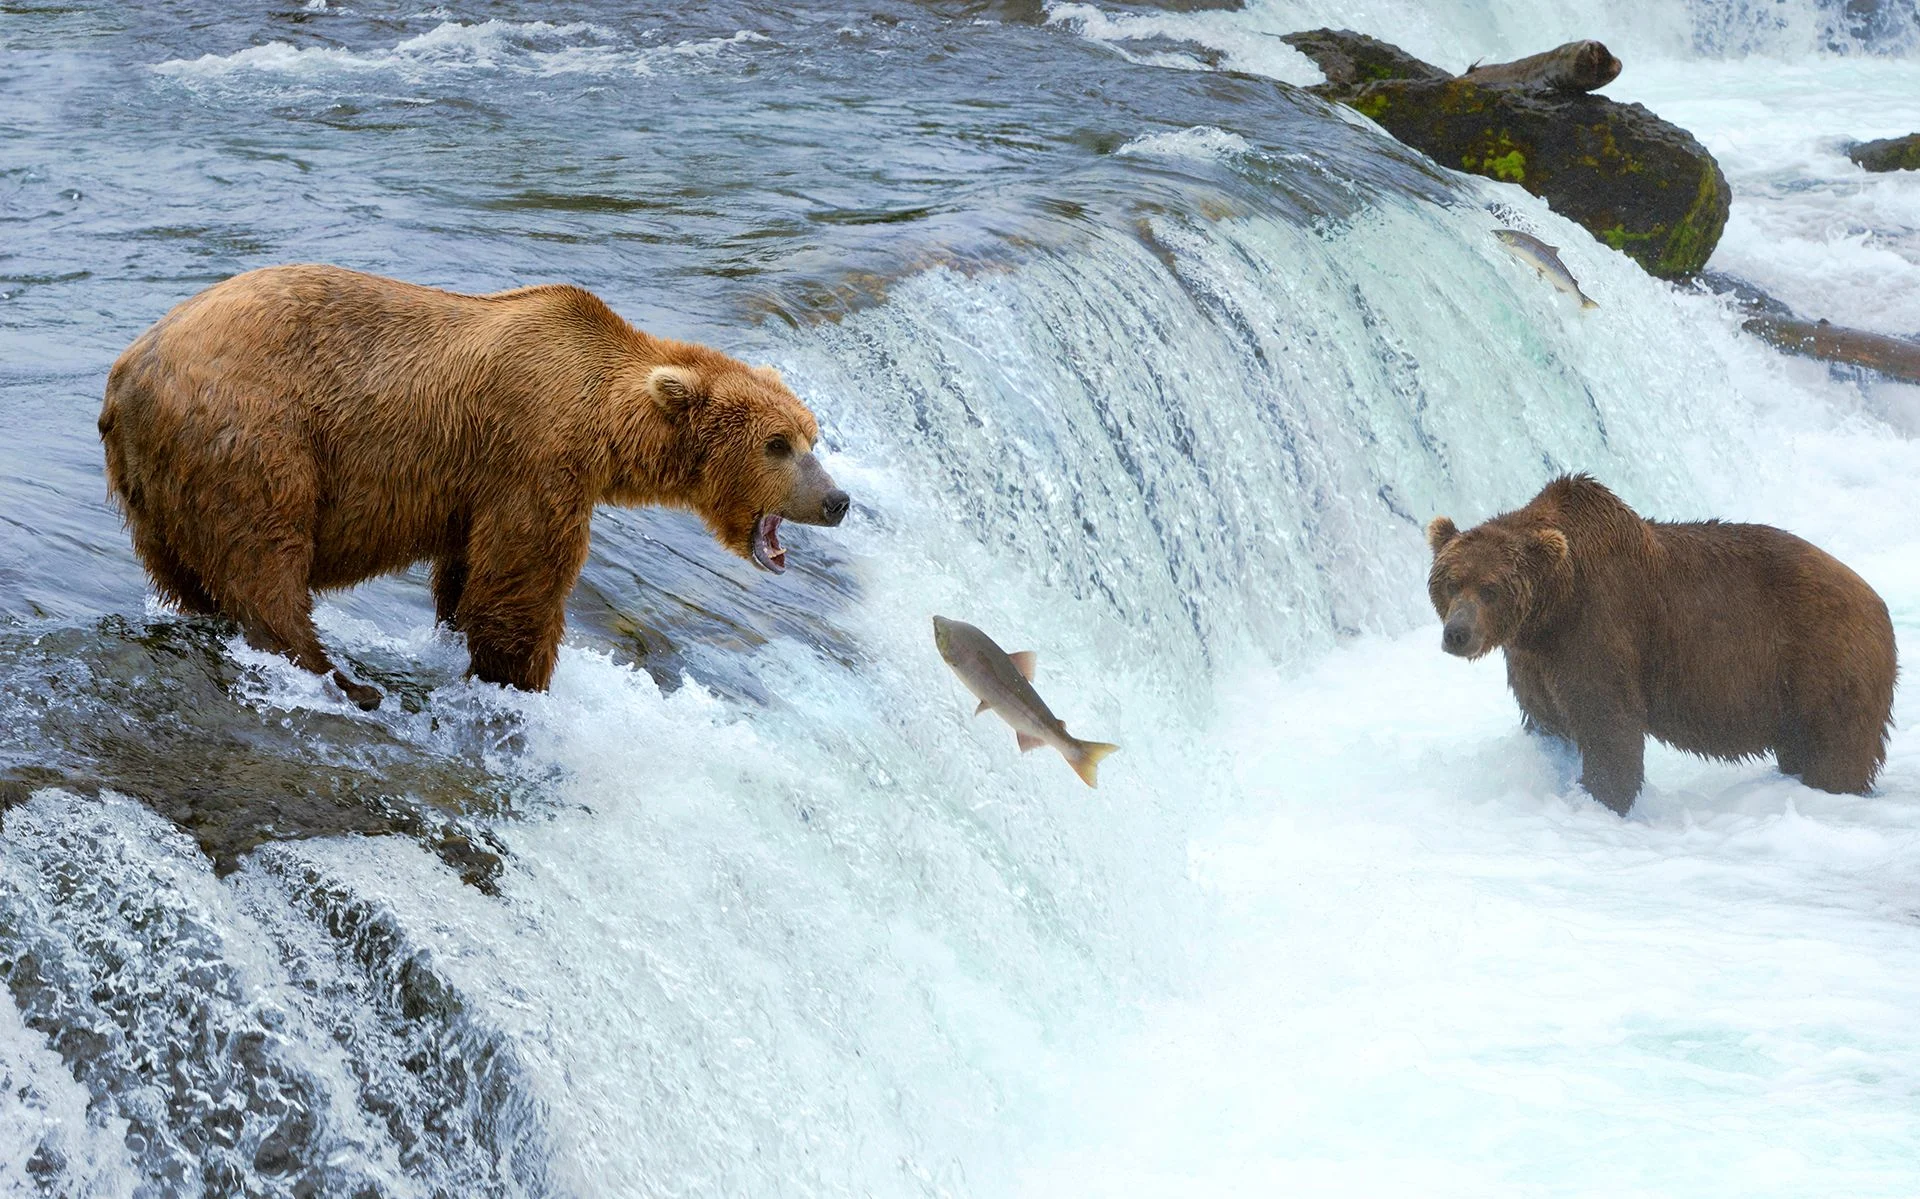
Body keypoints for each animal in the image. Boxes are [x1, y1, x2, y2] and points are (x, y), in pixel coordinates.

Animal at [97, 263, 844, 710]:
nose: (837, 500)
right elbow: (522, 581)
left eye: (813, 434)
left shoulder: (478, 484)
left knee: (186, 570)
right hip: (254, 436)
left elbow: (467, 574)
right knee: (266, 559)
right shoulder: (535, 453)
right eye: (778, 444)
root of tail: (128, 368)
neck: (605, 420)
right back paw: (341, 678)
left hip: (153, 484)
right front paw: (522, 677)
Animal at [1428, 478, 1889, 814]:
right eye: (1451, 582)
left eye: (1489, 589)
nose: (1457, 633)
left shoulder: (1598, 628)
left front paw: (1602, 799)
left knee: (1836, 752)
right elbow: (1547, 718)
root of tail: (1875, 600)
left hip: (1825, 664)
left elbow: (1609, 725)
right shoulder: (1534, 658)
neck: (1552, 609)